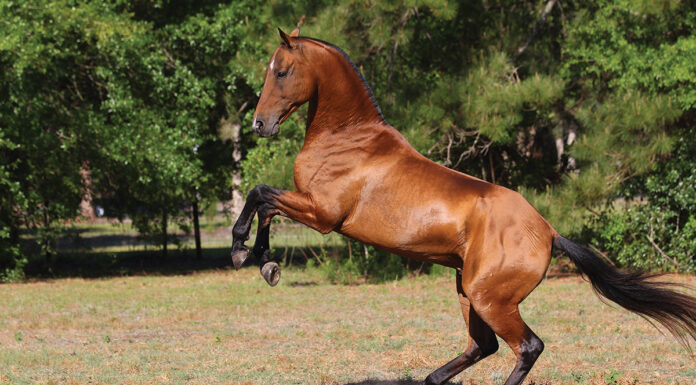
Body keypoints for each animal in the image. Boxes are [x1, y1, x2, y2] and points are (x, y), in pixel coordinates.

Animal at [230, 27, 696, 384]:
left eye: (282, 72)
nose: (259, 124)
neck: (347, 139)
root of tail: (548, 232)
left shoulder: (323, 214)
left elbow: (259, 193)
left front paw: (242, 251)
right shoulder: (308, 207)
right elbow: (266, 205)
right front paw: (265, 262)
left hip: (489, 298)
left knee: (527, 346)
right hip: (467, 291)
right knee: (482, 346)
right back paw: (431, 378)